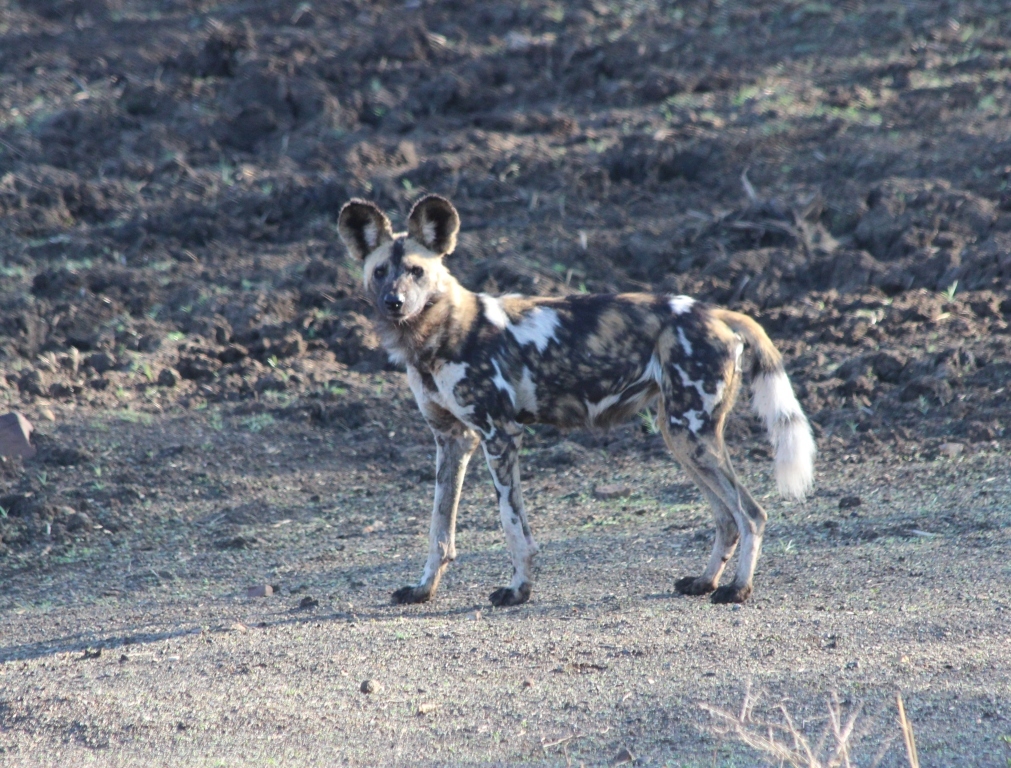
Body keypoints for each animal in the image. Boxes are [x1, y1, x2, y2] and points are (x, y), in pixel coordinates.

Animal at [337, 195, 812, 610]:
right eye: (381, 271)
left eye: (416, 271)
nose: (394, 302)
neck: (437, 333)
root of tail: (716, 312)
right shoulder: (452, 442)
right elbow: (439, 531)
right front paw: (423, 590)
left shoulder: (500, 436)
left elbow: (512, 525)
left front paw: (518, 591)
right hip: (680, 436)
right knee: (727, 518)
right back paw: (705, 582)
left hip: (692, 436)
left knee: (752, 514)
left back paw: (737, 590)